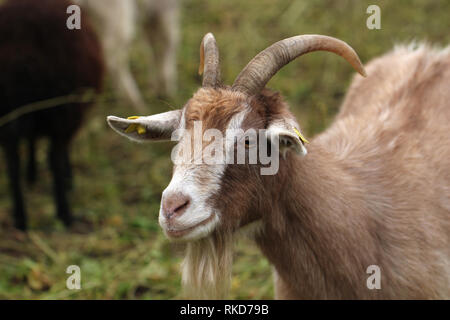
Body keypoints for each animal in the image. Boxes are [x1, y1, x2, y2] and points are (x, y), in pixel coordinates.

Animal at [0, 0, 103, 230]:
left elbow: (31, 142)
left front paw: (31, 173)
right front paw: (67, 177)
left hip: (10, 114)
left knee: (12, 163)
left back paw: (20, 218)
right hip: (63, 111)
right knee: (53, 157)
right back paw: (65, 213)